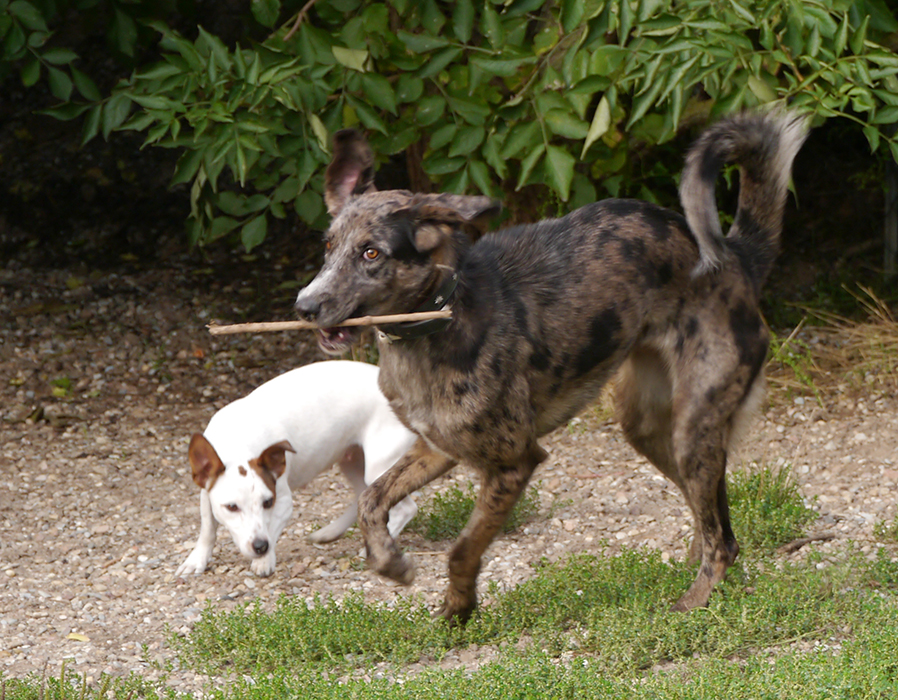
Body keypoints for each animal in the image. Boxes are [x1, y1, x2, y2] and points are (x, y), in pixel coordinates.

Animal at [175, 360, 419, 577]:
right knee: (362, 496)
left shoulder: (283, 503)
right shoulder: (206, 493)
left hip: (379, 466)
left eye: (268, 502)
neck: (238, 443)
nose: (260, 546)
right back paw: (331, 531)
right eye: (231, 507)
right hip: (352, 462)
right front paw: (197, 560)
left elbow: (272, 529)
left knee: (406, 508)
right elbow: (207, 530)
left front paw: (265, 560)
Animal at [294, 110, 808, 622]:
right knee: (714, 517)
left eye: (372, 253)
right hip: (647, 424)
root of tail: (738, 259)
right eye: (327, 247)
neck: (441, 316)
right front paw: (391, 564)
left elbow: (462, 549)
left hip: (694, 424)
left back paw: (691, 602)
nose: (304, 306)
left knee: (723, 540)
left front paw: (459, 609)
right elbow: (371, 499)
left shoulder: (515, 462)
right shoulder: (437, 447)